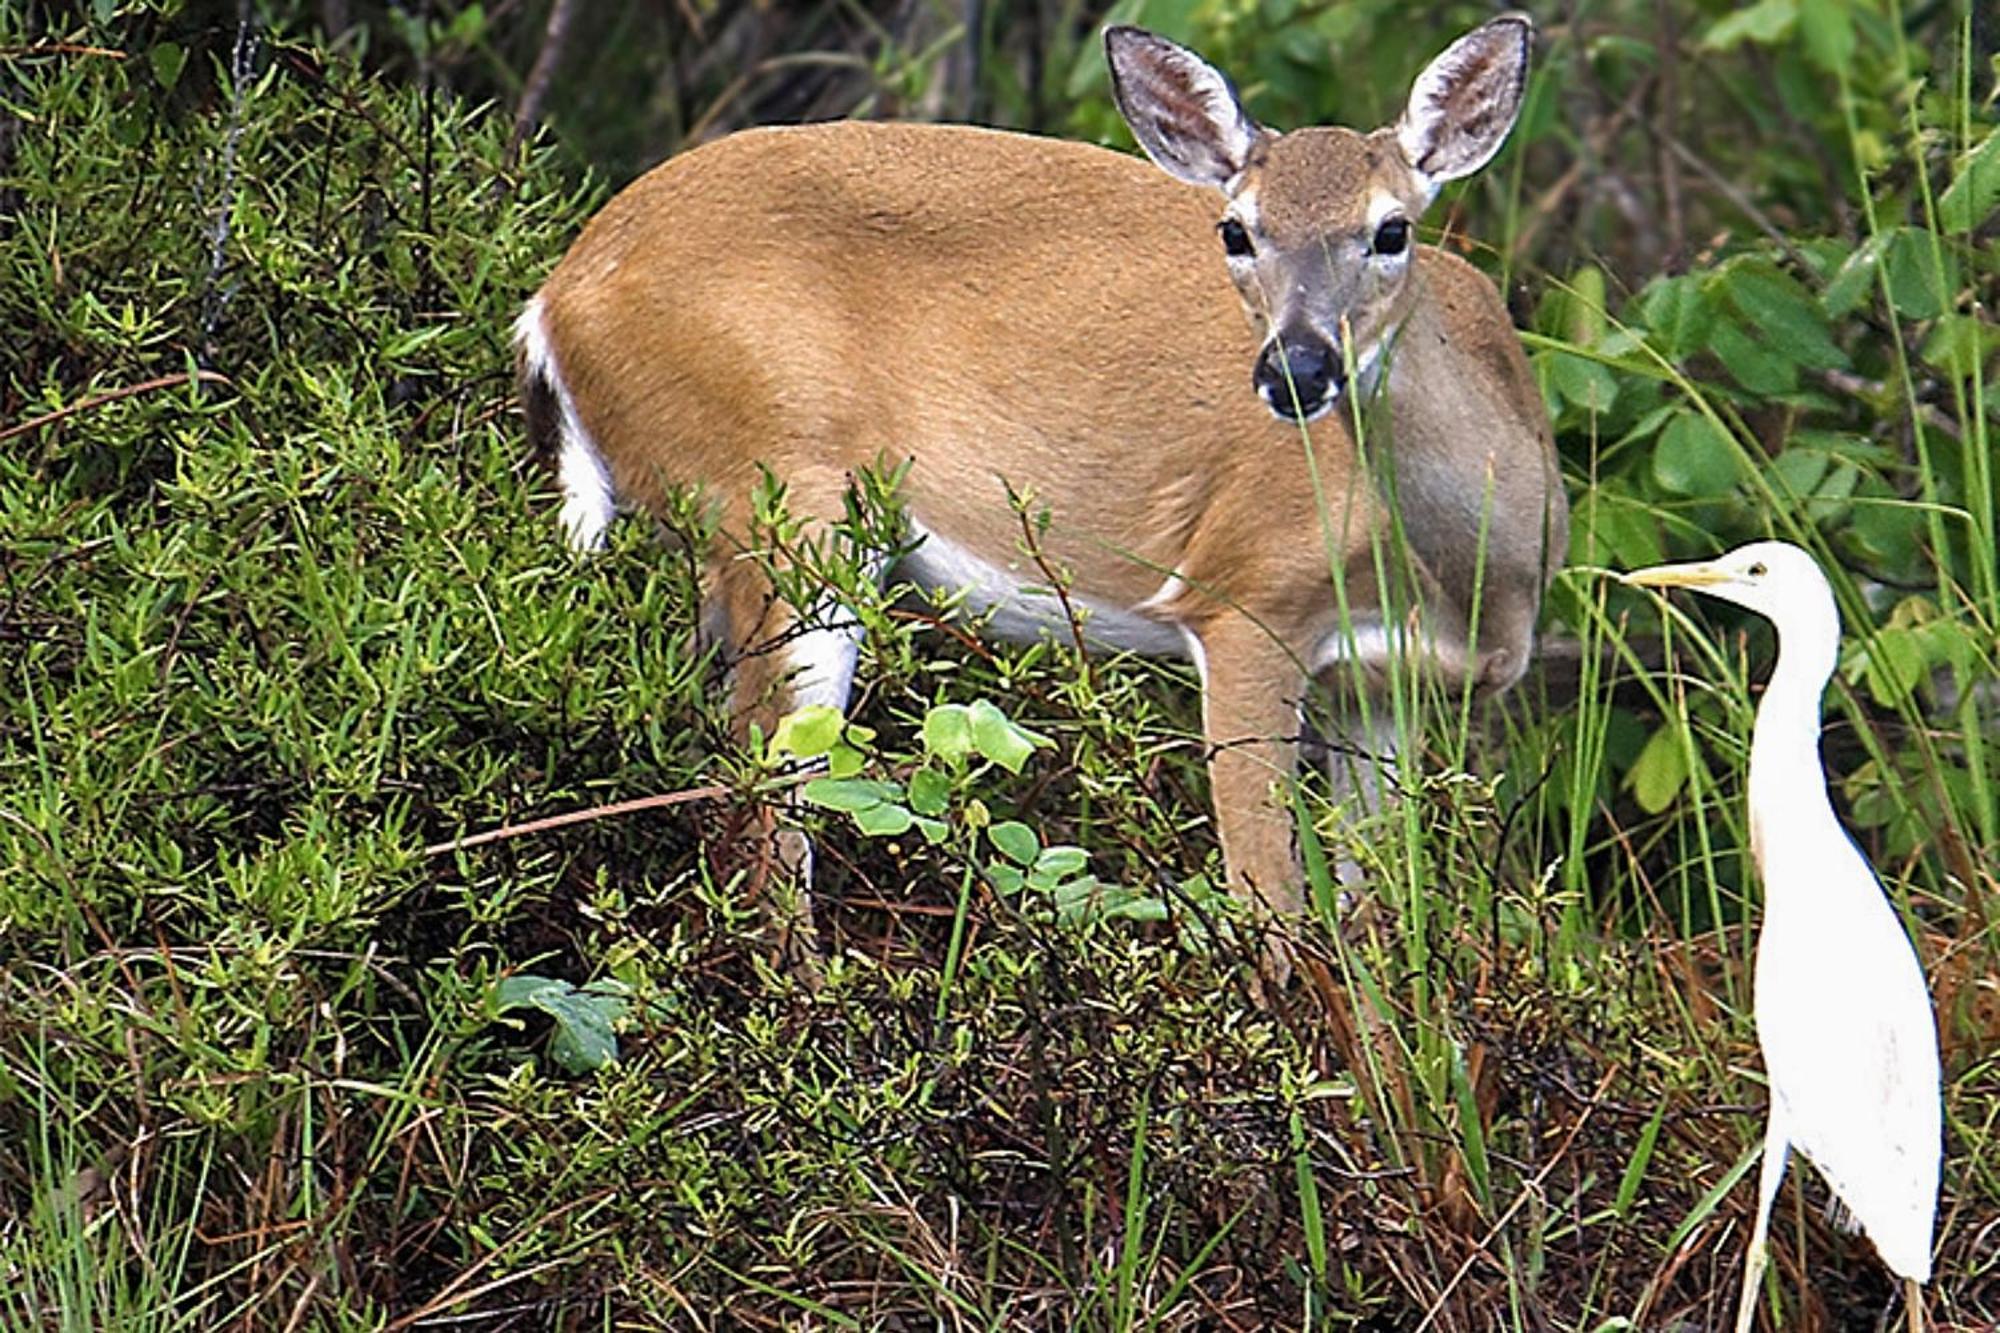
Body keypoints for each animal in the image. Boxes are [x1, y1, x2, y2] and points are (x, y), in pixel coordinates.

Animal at [512, 13, 1560, 976]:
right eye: (1235, 229)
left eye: (1392, 229)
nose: (1294, 371)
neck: (1465, 572)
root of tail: (556, 299)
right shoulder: (1247, 600)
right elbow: (1274, 909)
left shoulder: (1389, 690)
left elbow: (1380, 931)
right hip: (788, 506)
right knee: (769, 808)